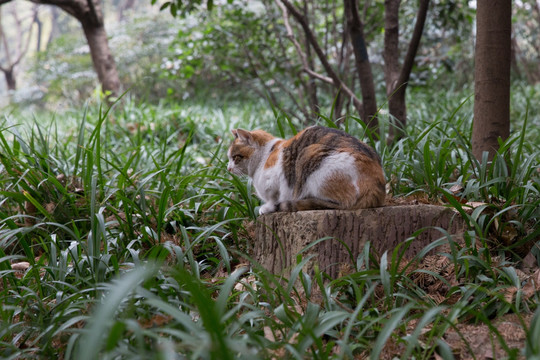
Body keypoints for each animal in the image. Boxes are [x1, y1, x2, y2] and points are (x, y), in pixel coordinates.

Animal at [226, 126, 386, 214]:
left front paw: (267, 208)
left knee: (342, 204)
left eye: (235, 157)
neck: (265, 155)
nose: (228, 168)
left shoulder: (274, 183)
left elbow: (273, 198)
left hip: (310, 154)